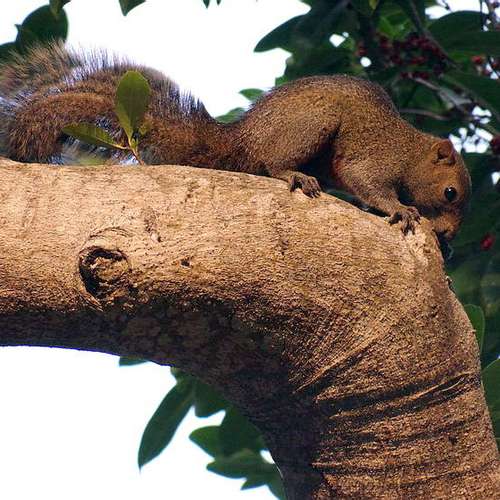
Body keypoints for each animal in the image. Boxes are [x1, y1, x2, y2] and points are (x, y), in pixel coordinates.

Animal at [0, 43, 471, 241]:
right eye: (450, 192)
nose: (449, 234)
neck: (410, 151)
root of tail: (239, 140)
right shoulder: (377, 153)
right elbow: (365, 179)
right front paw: (401, 209)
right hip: (309, 125)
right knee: (271, 163)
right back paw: (291, 174)